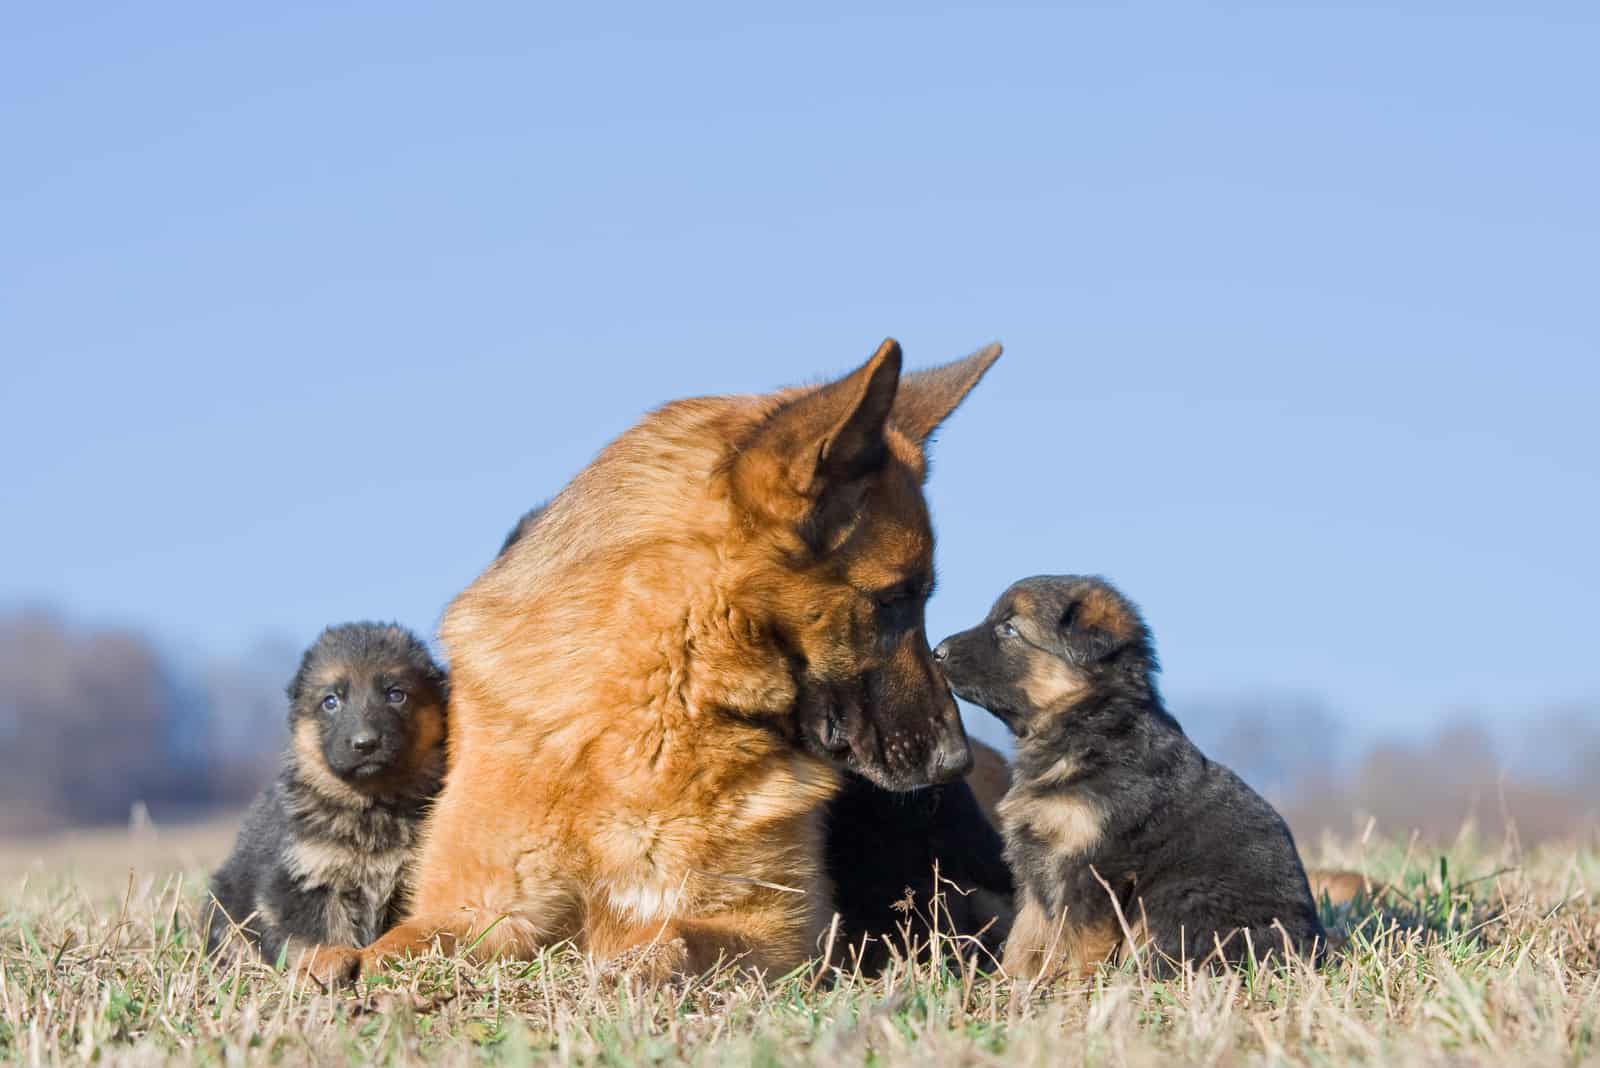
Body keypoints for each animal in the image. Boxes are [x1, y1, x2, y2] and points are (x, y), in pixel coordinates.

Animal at [204, 620, 451, 972]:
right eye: (331, 702)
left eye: (396, 695)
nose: (365, 743)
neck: (372, 805)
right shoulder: (304, 877)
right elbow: (316, 931)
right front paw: (326, 961)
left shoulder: (409, 878)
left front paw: (387, 953)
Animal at [934, 578, 1318, 978]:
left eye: (1009, 629)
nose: (937, 652)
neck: (1086, 725)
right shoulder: (1038, 866)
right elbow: (1026, 935)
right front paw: (1010, 982)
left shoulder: (1096, 868)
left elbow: (1080, 941)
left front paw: (1074, 987)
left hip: (1182, 897)